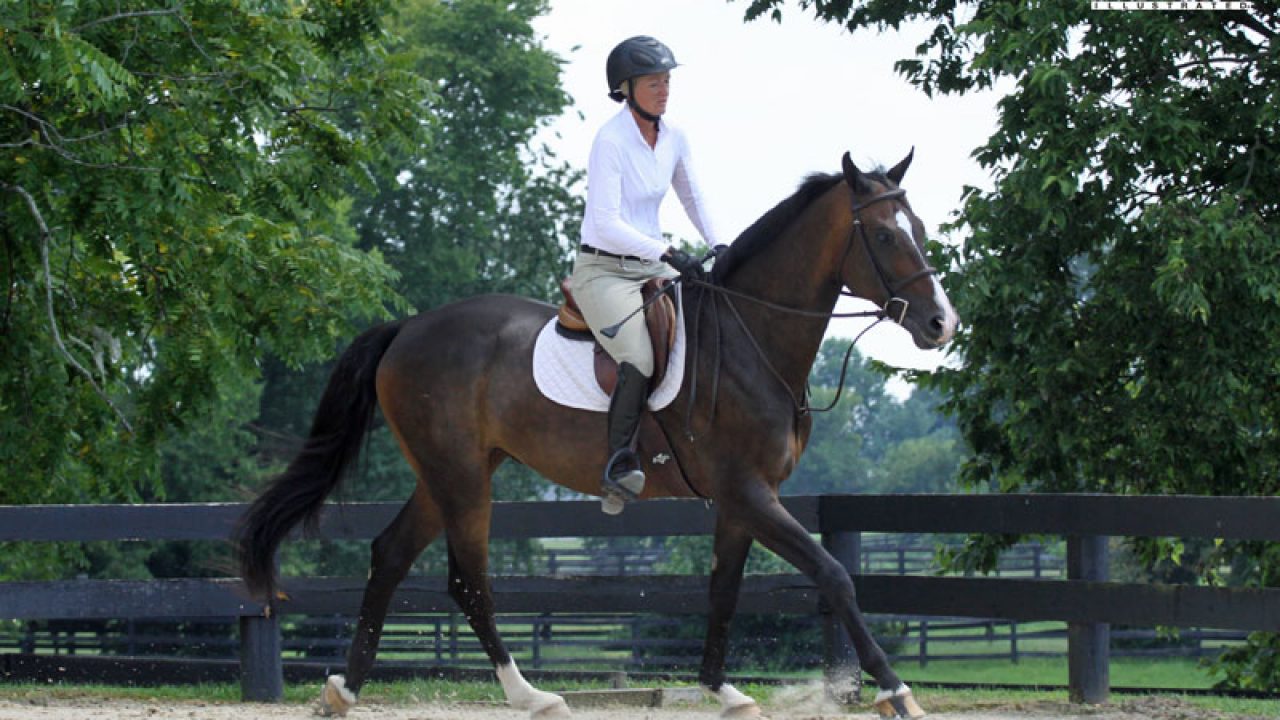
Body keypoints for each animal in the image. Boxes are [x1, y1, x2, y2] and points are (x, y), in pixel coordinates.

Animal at [236, 150, 958, 719]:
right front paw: (896, 691)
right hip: (461, 477)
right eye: (886, 237)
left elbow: (724, 589)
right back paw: (528, 695)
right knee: (468, 580)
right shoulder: (750, 492)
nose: (940, 324)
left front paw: (722, 690)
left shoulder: (740, 501)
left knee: (389, 555)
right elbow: (834, 576)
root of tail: (406, 329)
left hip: (451, 471)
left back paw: (344, 689)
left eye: (919, 229)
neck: (750, 336)